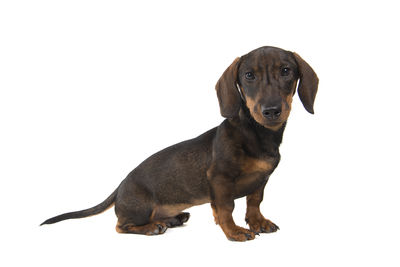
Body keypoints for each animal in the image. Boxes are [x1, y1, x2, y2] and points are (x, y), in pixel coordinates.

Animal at [40, 46, 318, 243]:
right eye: (249, 76)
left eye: (286, 71)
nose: (271, 111)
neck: (257, 134)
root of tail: (120, 186)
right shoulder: (220, 178)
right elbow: (226, 208)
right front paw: (234, 231)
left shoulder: (262, 180)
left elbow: (254, 201)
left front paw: (257, 221)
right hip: (139, 208)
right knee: (121, 226)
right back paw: (153, 227)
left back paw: (174, 218)